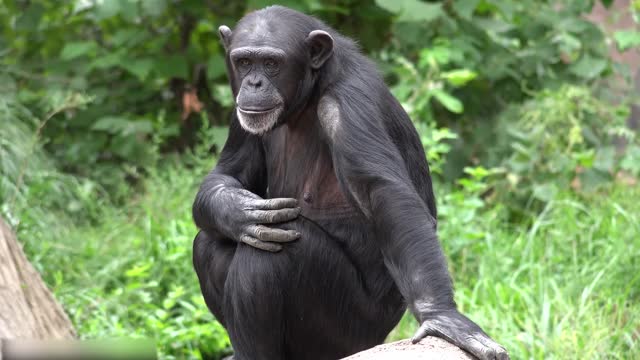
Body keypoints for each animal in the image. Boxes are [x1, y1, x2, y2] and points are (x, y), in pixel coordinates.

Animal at [192, 5, 508, 360]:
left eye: (272, 63)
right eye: (244, 61)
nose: (254, 82)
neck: (308, 97)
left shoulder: (348, 105)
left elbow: (383, 195)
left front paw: (442, 316)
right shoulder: (240, 113)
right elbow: (227, 173)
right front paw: (236, 209)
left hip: (347, 332)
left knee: (272, 252)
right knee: (210, 242)